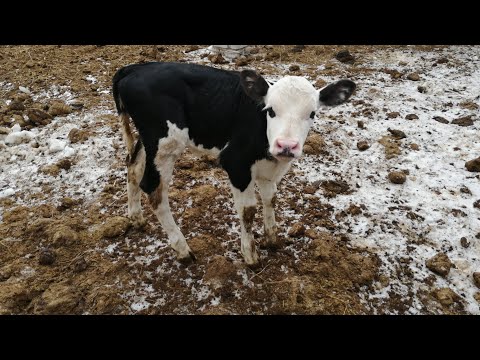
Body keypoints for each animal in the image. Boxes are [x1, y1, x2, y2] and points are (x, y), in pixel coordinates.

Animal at [111, 62, 352, 268]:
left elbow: (271, 199)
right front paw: (251, 255)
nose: (286, 145)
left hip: (149, 141)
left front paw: (272, 239)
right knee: (154, 190)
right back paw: (182, 249)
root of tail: (135, 68)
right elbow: (248, 210)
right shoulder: (236, 164)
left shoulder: (268, 168)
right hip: (166, 144)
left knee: (133, 166)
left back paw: (136, 218)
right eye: (270, 110)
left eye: (312, 114)